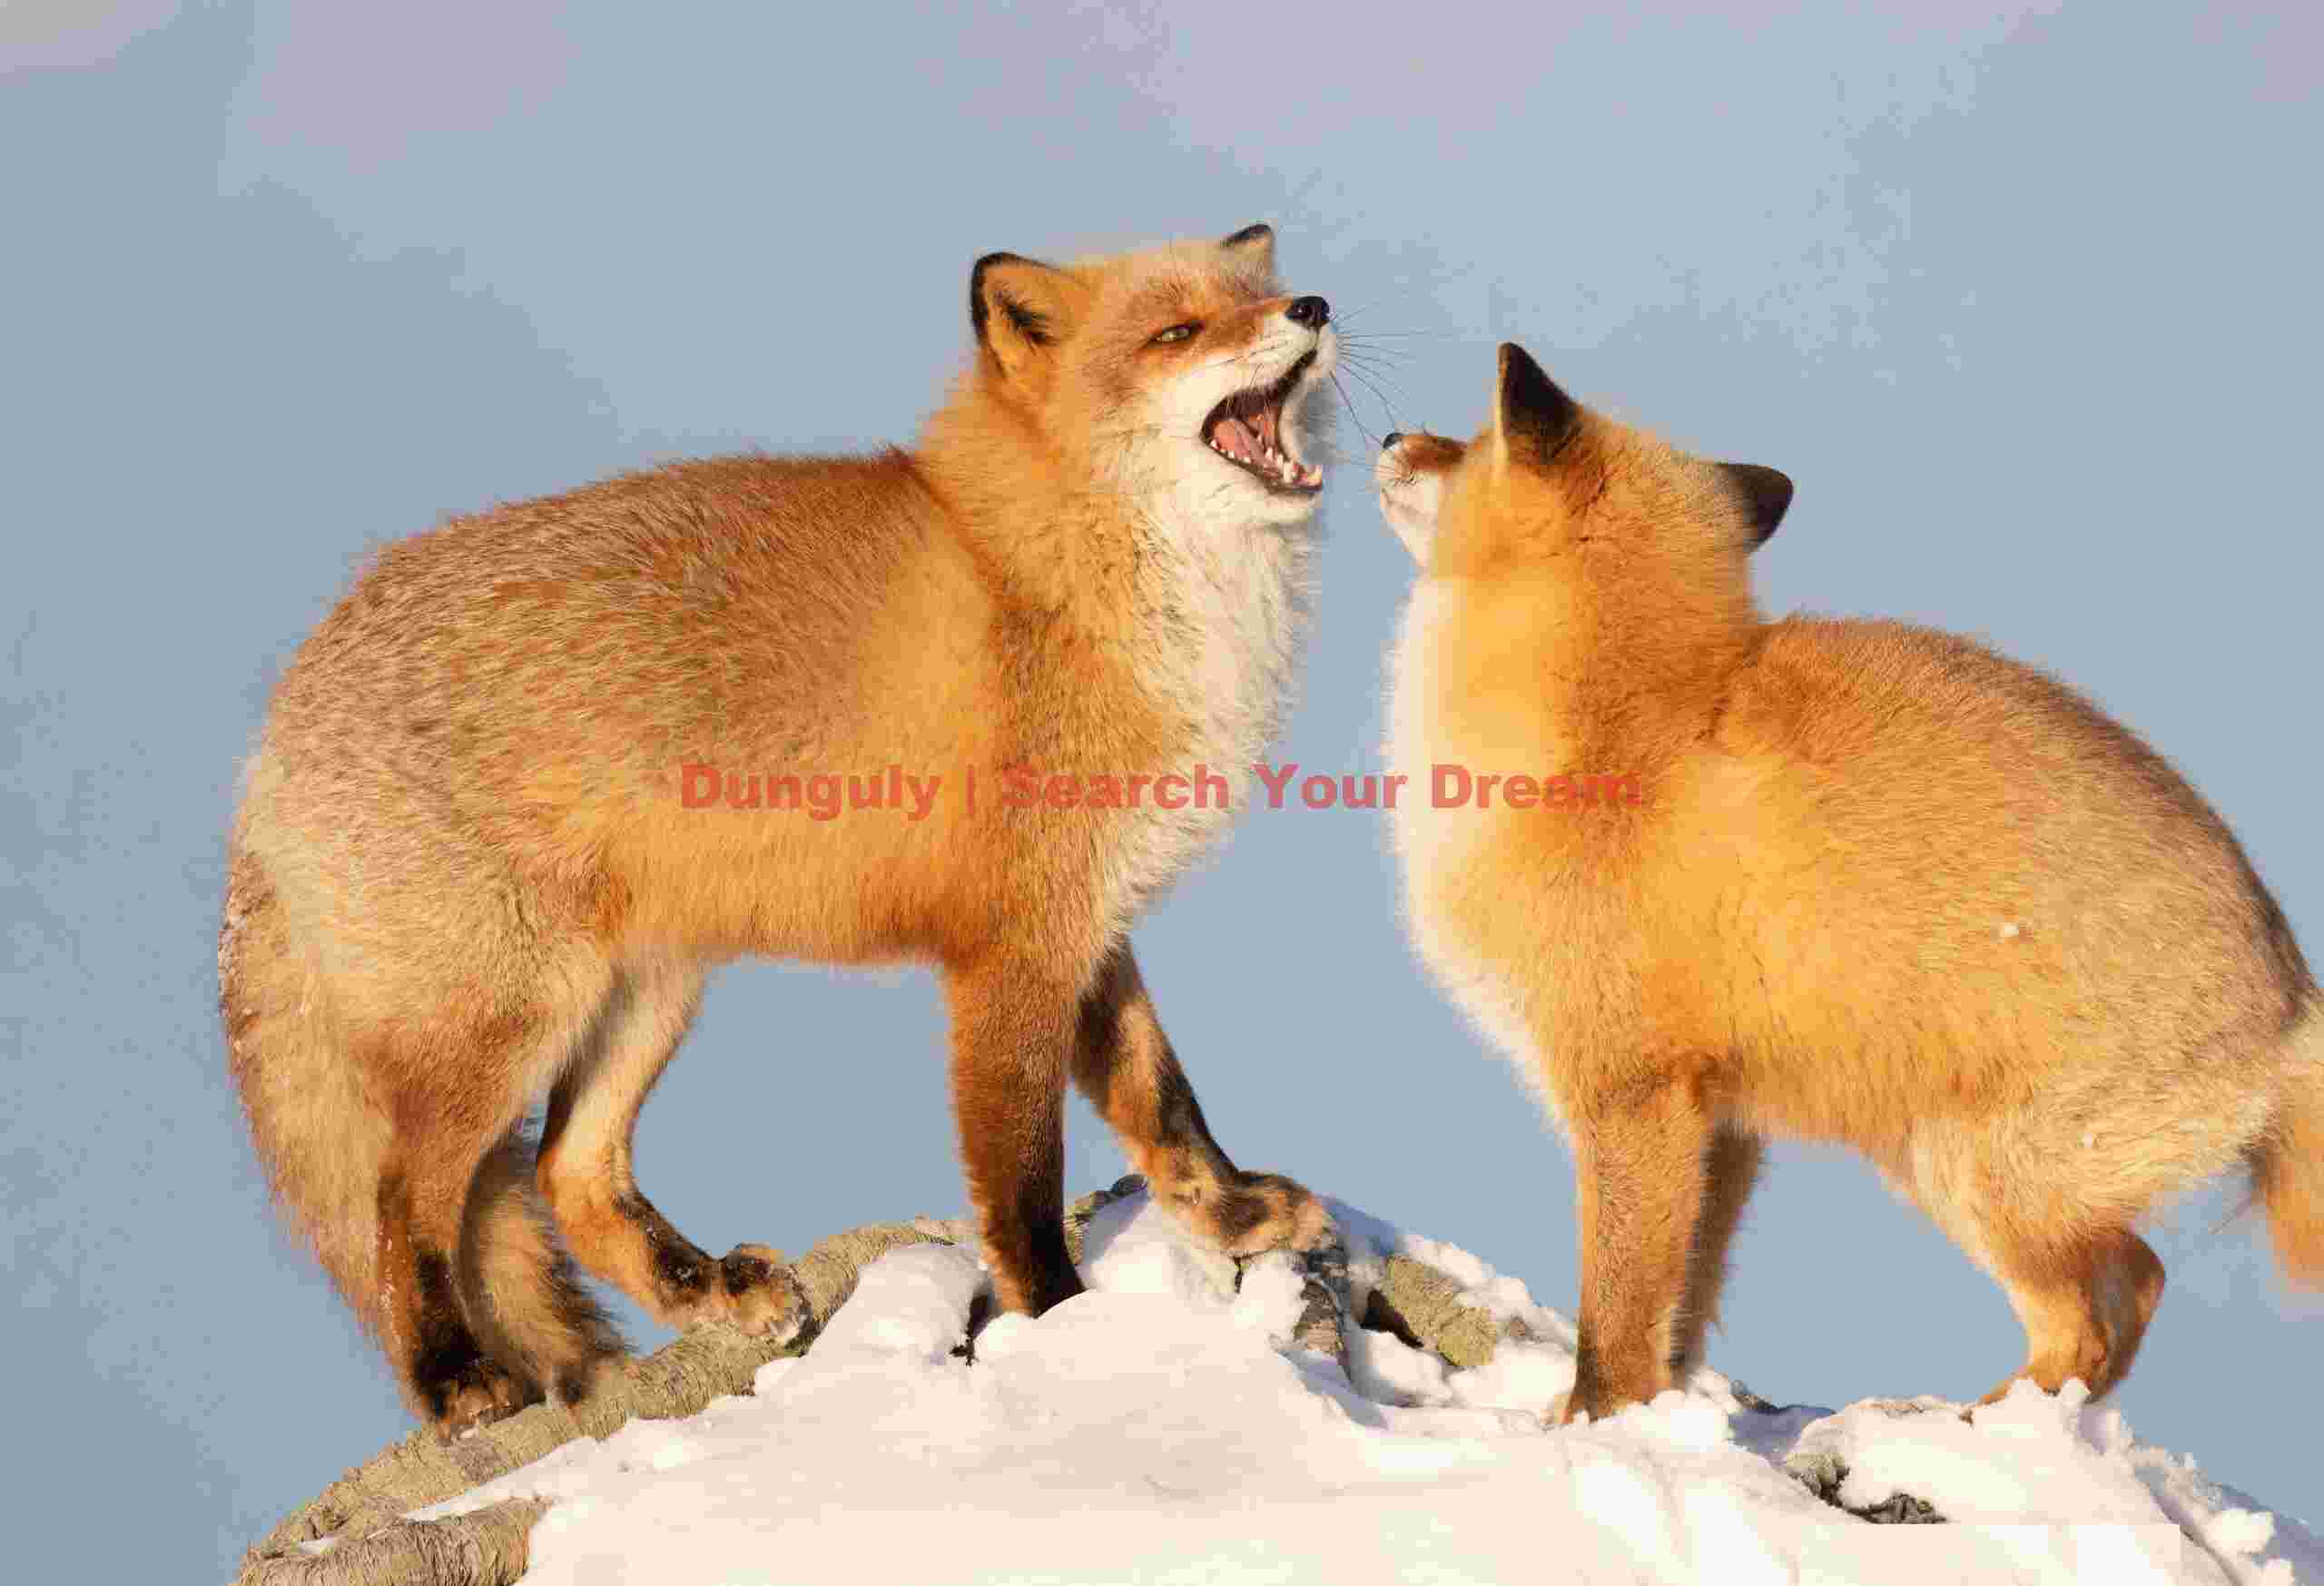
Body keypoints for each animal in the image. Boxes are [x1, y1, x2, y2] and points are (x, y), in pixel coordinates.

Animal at [219, 224, 1340, 1436]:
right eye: (1176, 332)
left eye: (1259, 296)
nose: (1315, 308)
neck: (1060, 573)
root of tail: (278, 714)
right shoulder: (1010, 951)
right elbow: (1021, 1177)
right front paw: (1056, 1323)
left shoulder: (1090, 922)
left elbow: (1162, 1099)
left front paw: (1232, 1215)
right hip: (508, 1020)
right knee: (403, 1202)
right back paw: (452, 1376)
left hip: (645, 995)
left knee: (570, 1176)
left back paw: (707, 1291)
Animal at [1376, 342, 2324, 1424]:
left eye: (1464, 444)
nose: (1388, 435)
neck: (1614, 729)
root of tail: (2292, 995)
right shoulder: (1722, 1125)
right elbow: (1680, 1314)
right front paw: (1676, 1419)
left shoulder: (1629, 1093)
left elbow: (1612, 1331)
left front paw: (1591, 1431)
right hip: (1937, 1164)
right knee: (2134, 1290)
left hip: (1981, 1177)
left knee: (2104, 1308)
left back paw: (1967, 1427)